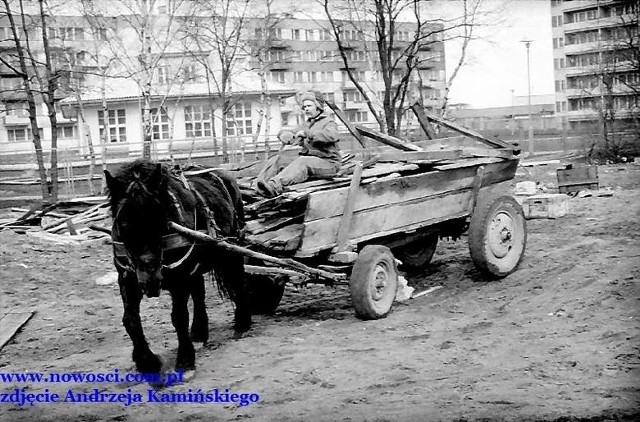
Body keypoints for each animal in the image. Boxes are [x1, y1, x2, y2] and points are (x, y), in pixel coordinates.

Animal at [105, 158, 250, 380]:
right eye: (124, 223)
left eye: (160, 220)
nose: (151, 280)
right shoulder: (128, 277)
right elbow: (130, 319)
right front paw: (146, 361)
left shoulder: (179, 277)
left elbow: (179, 317)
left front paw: (185, 361)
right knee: (199, 293)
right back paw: (199, 332)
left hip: (232, 249)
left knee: (237, 281)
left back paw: (242, 323)